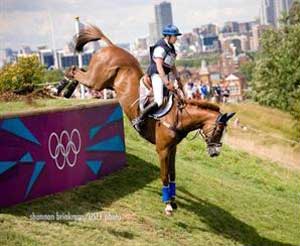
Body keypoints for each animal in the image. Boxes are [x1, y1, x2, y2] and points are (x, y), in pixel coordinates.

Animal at [64, 24, 236, 214]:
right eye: (218, 130)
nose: (215, 153)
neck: (179, 116)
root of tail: (112, 47)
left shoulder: (172, 149)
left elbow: (173, 174)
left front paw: (173, 200)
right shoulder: (162, 150)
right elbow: (164, 175)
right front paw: (167, 204)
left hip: (104, 83)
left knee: (79, 72)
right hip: (97, 81)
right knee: (75, 71)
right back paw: (64, 89)